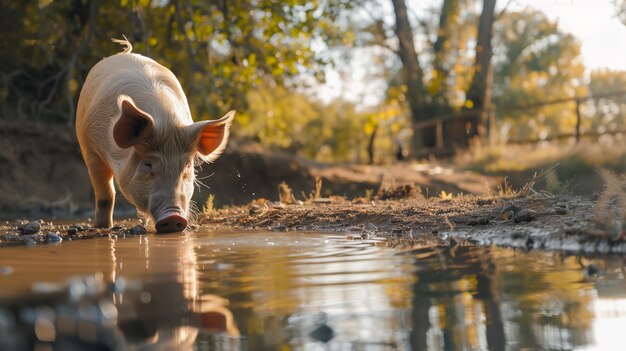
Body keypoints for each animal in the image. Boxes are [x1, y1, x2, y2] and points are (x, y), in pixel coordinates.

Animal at [75, 39, 232, 234]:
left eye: (187, 166)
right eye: (148, 164)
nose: (174, 217)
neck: (165, 122)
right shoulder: (92, 150)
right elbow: (106, 195)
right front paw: (103, 227)